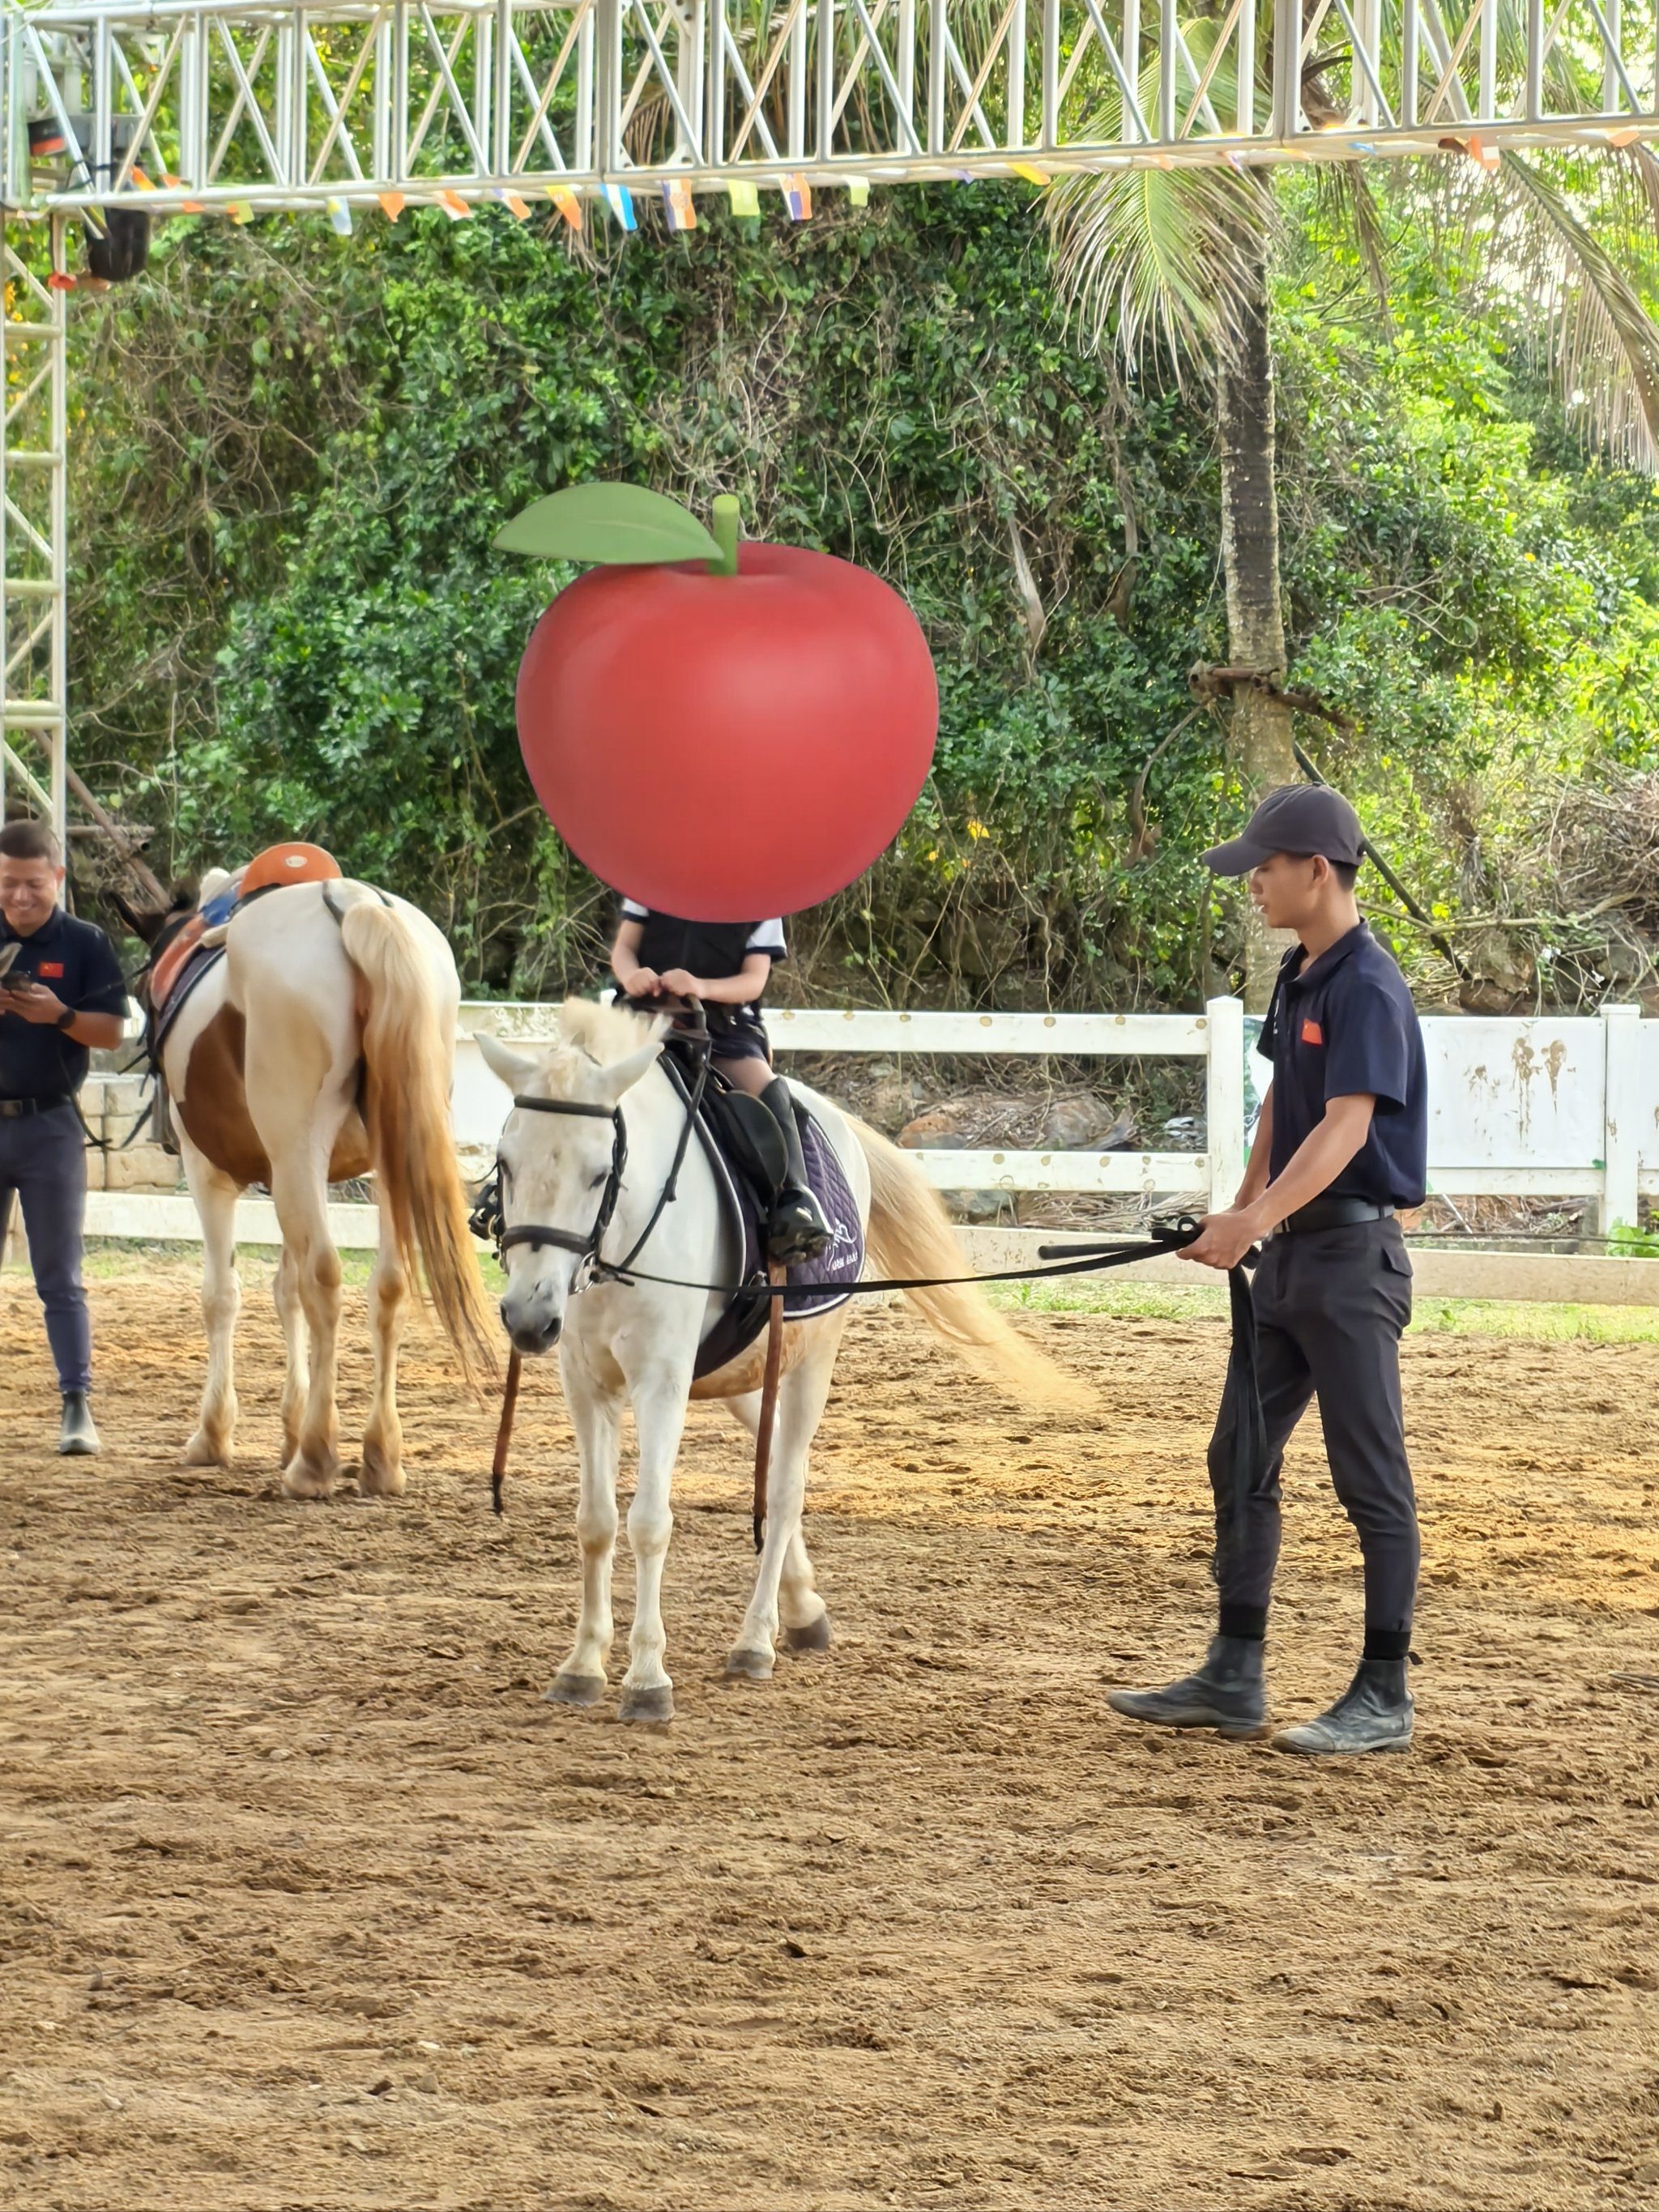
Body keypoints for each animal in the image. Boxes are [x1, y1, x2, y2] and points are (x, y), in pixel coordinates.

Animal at [127, 872, 497, 1495]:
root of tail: (357, 904)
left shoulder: (213, 1174)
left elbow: (223, 1296)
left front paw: (215, 1435)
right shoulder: (293, 1178)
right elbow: (286, 1290)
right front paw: (289, 1427)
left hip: (295, 1152)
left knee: (325, 1277)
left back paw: (316, 1460)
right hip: (377, 1161)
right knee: (387, 1284)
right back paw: (379, 1458)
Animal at [473, 995, 1084, 1716]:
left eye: (600, 1172)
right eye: (506, 1164)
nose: (529, 1316)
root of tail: (840, 1123)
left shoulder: (660, 1383)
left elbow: (650, 1520)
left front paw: (648, 1678)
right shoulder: (586, 1383)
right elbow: (595, 1521)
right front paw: (582, 1665)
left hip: (809, 1362)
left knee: (787, 1491)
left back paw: (756, 1640)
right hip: (743, 1375)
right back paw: (801, 1610)